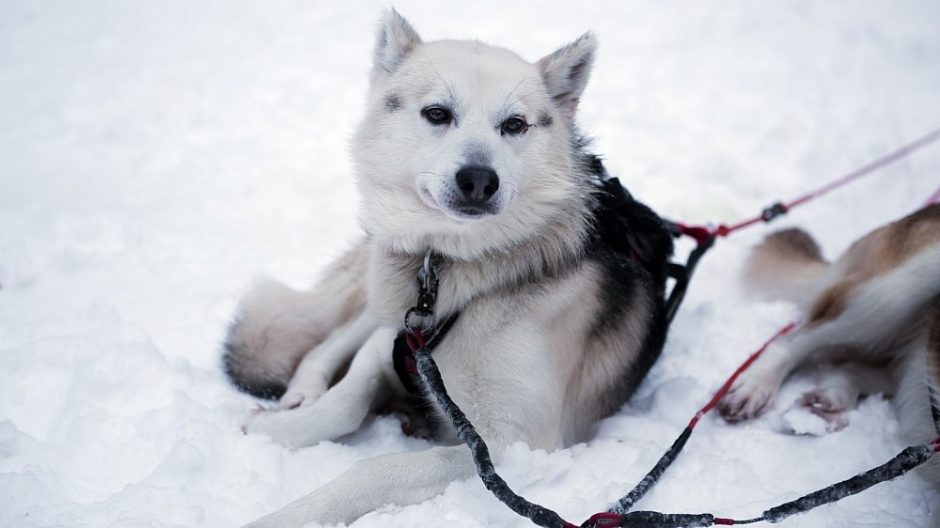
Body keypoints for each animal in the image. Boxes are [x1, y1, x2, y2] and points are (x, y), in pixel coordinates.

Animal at [225, 10, 676, 524]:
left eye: (514, 124)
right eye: (438, 113)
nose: (478, 180)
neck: (449, 275)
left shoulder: (511, 448)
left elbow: (377, 467)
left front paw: (292, 512)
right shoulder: (393, 342)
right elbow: (344, 401)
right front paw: (278, 432)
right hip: (381, 294)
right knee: (334, 338)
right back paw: (300, 393)